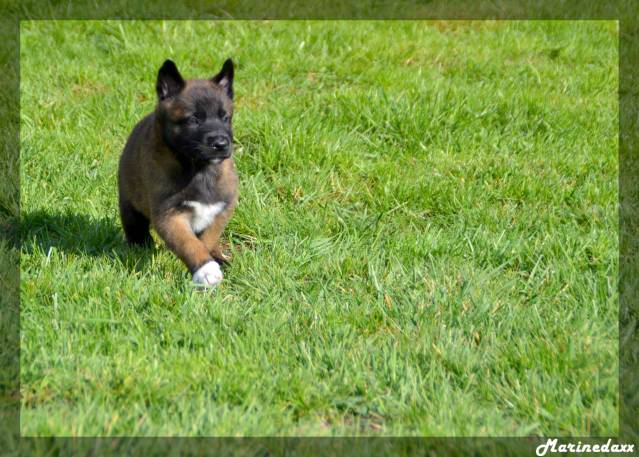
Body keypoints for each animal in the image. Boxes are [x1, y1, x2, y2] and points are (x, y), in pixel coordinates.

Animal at [117, 57, 238, 284]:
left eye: (225, 118)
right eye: (194, 120)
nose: (220, 144)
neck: (199, 169)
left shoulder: (222, 207)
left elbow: (207, 239)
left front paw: (212, 258)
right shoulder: (169, 215)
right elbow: (189, 243)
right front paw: (206, 269)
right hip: (129, 202)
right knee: (135, 227)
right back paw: (140, 247)